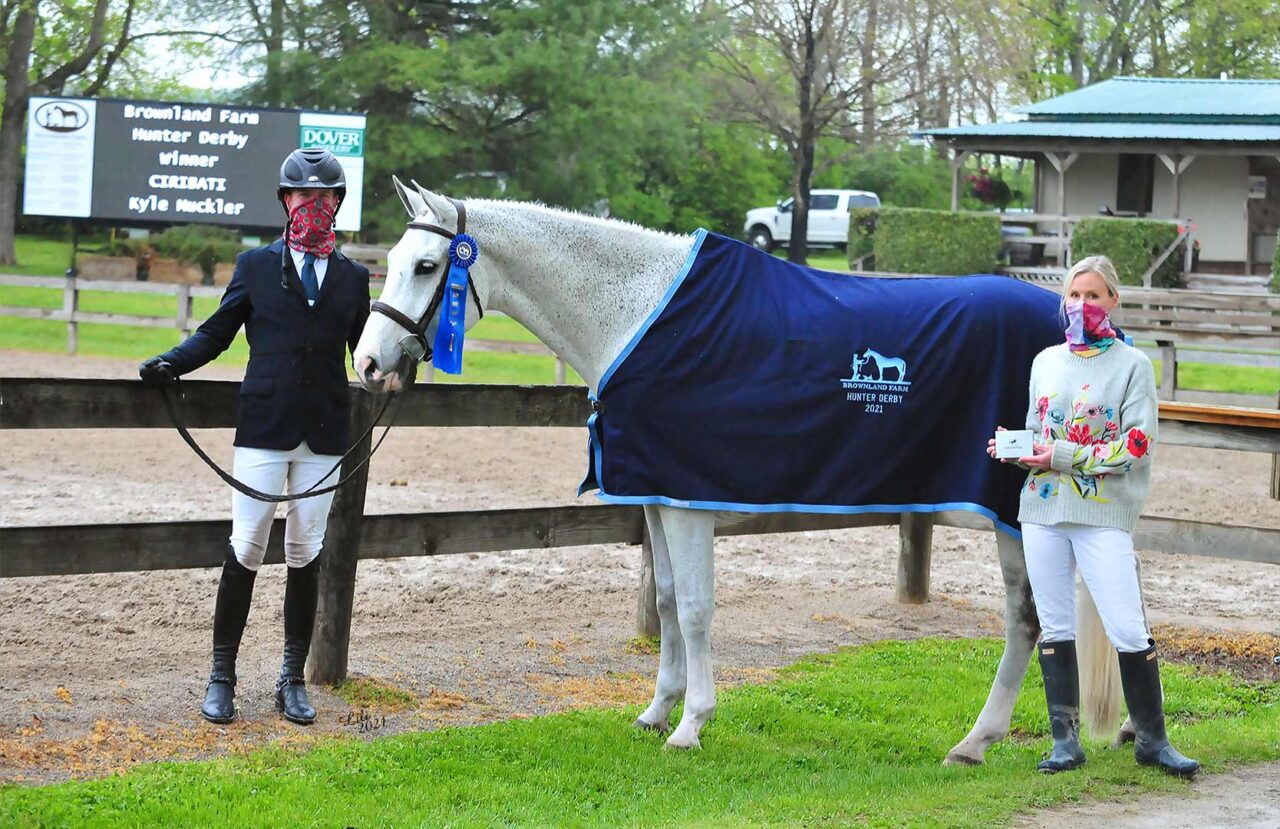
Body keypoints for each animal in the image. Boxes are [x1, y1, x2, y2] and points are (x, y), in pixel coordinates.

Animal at [350, 181, 1121, 757]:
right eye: (395, 259)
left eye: (428, 267)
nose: (367, 362)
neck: (641, 311)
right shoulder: (658, 495)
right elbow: (665, 602)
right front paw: (657, 711)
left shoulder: (688, 501)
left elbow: (694, 608)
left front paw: (692, 724)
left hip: (1014, 521)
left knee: (1025, 621)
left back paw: (975, 740)